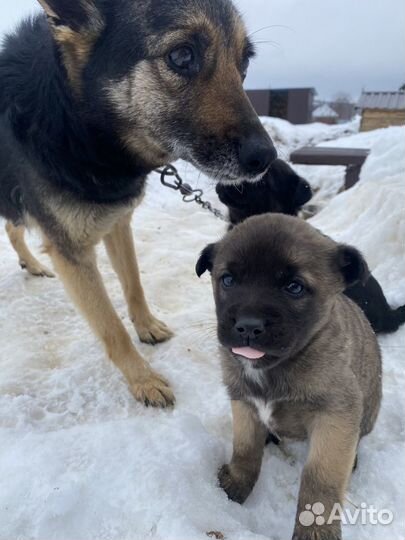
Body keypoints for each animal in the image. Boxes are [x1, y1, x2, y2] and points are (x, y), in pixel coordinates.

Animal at [0, 0, 276, 404]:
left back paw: (32, 264)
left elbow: (133, 282)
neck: (74, 120)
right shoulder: (73, 254)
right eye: (181, 56)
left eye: (244, 64)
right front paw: (142, 379)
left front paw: (146, 326)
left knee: (13, 227)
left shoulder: (117, 222)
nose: (266, 158)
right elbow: (111, 327)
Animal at [197, 214, 380, 540]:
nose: (248, 326)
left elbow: (320, 479)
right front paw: (235, 486)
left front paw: (316, 530)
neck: (273, 369)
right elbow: (245, 450)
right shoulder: (243, 403)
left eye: (294, 287)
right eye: (228, 280)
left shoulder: (335, 417)